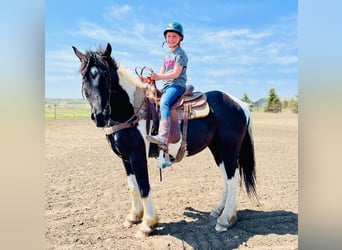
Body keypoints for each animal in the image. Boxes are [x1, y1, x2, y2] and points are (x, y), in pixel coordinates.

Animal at [72, 43, 256, 238]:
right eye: (84, 77)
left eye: (106, 74)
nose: (99, 115)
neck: (132, 109)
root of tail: (241, 105)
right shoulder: (125, 158)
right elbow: (133, 187)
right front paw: (133, 217)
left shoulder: (137, 155)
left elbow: (144, 187)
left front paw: (147, 224)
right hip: (217, 149)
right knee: (226, 178)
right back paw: (218, 211)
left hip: (229, 149)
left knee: (233, 180)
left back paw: (225, 219)